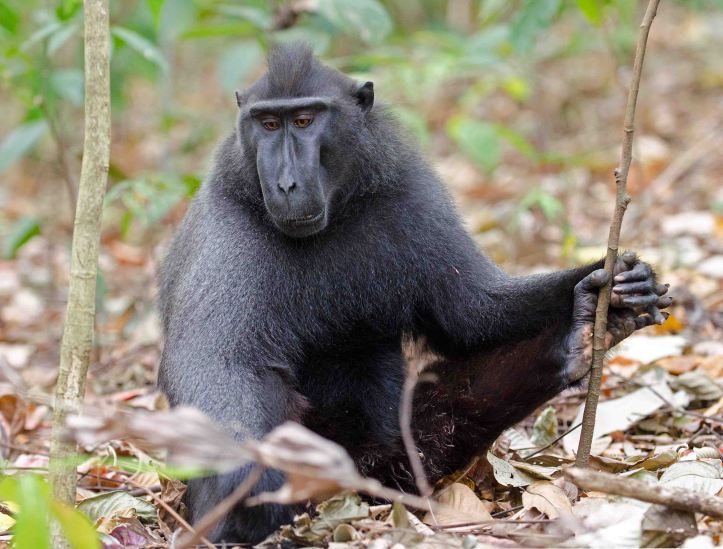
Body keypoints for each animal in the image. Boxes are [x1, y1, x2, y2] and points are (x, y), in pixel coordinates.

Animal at [157, 43, 671, 543]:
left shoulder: (409, 196)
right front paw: (251, 482)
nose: (286, 183)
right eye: (267, 124)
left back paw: (579, 340)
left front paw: (610, 286)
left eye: (304, 120)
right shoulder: (230, 229)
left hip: (398, 463)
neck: (335, 219)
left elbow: (475, 315)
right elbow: (219, 360)